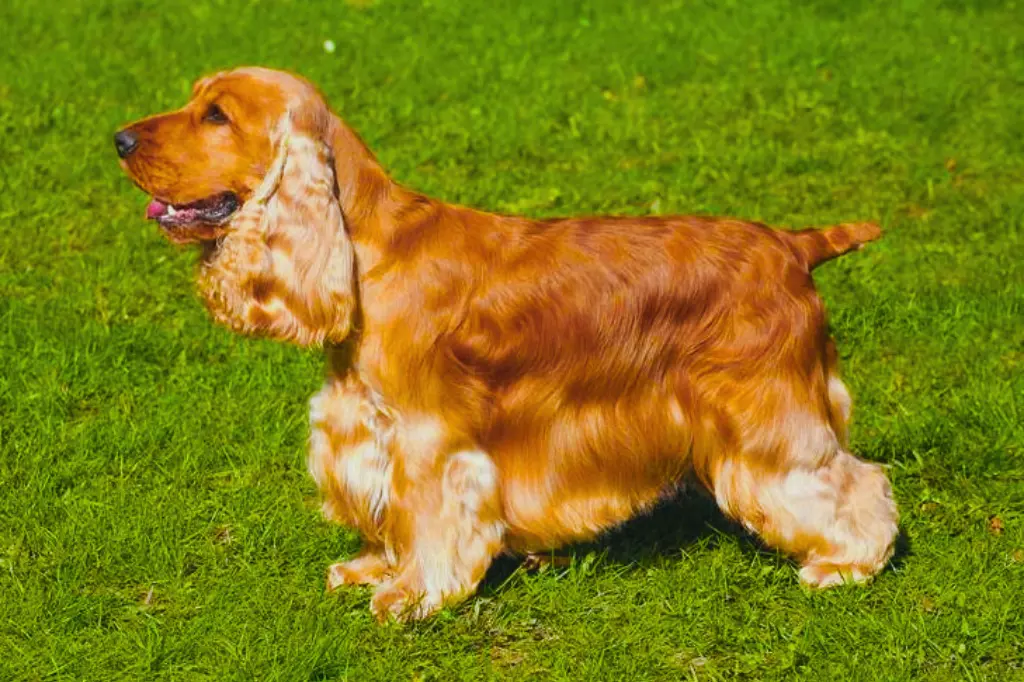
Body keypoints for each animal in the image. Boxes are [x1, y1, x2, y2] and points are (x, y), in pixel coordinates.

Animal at [114, 66, 897, 618]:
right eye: (194, 99)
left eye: (216, 115)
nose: (119, 140)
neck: (366, 252)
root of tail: (793, 245)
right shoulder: (364, 427)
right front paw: (371, 566)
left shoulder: (430, 439)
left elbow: (430, 519)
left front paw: (412, 596)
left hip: (769, 415)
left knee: (854, 482)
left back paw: (848, 564)